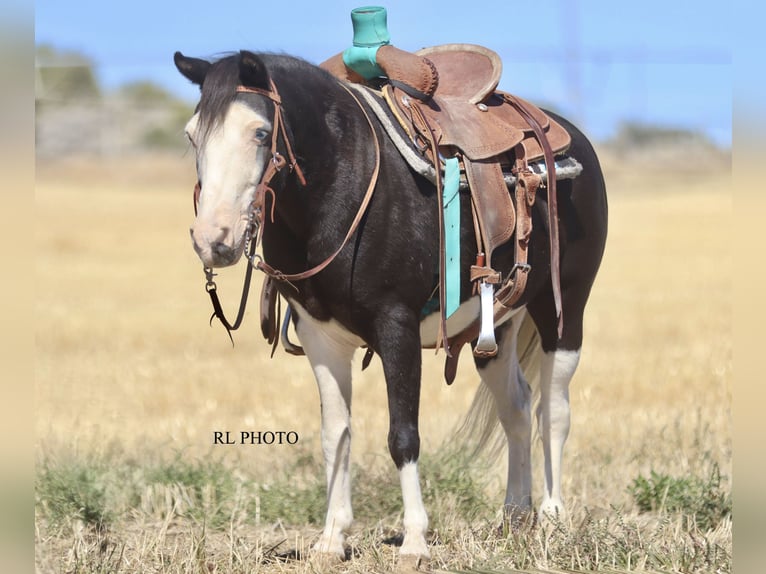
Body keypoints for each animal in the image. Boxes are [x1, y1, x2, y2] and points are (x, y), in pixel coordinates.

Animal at [174, 49, 607, 563]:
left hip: (564, 313)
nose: (212, 240)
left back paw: (553, 518)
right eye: (191, 135)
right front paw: (331, 538)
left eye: (260, 133)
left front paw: (415, 540)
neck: (342, 183)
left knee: (552, 413)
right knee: (517, 409)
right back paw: (514, 517)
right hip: (496, 329)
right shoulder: (320, 336)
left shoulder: (396, 327)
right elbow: (335, 435)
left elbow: (403, 435)